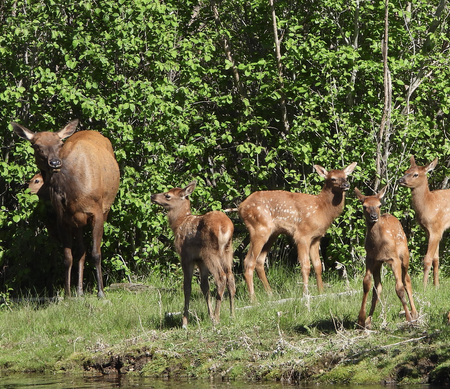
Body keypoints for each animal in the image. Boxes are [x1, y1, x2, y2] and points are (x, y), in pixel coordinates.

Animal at [12, 119, 120, 298]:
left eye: (59, 143)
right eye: (36, 145)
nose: (55, 162)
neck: (73, 191)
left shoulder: (97, 211)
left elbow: (96, 253)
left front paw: (101, 293)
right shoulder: (62, 218)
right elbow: (67, 257)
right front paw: (68, 294)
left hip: (105, 208)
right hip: (77, 221)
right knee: (81, 250)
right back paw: (80, 291)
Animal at [151, 180, 236, 326]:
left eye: (167, 195)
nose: (153, 196)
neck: (179, 223)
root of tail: (225, 228)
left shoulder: (186, 256)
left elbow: (187, 287)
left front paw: (184, 321)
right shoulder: (200, 260)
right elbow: (204, 287)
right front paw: (209, 315)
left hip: (210, 252)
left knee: (221, 277)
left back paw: (217, 318)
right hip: (227, 251)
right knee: (230, 277)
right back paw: (232, 315)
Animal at [237, 161, 356, 300]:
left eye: (346, 176)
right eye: (333, 178)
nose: (346, 185)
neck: (321, 209)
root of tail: (241, 207)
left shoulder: (316, 238)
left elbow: (318, 265)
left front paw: (321, 292)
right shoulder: (302, 235)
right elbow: (305, 266)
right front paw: (305, 294)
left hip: (272, 233)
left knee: (259, 261)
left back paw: (270, 294)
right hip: (259, 228)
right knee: (248, 261)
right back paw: (253, 299)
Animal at [356, 185, 418, 328]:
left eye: (379, 205)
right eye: (364, 206)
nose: (373, 216)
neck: (379, 245)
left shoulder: (394, 259)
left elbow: (399, 288)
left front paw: (408, 318)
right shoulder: (370, 258)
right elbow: (366, 283)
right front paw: (361, 319)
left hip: (404, 255)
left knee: (407, 280)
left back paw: (414, 313)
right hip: (379, 264)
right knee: (378, 288)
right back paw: (369, 320)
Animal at [400, 156, 448, 286]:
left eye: (416, 174)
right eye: (406, 171)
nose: (401, 180)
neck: (428, 204)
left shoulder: (436, 229)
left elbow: (427, 259)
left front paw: (424, 286)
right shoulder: (430, 230)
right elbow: (436, 259)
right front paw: (436, 285)